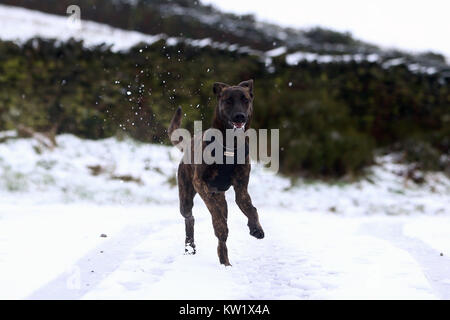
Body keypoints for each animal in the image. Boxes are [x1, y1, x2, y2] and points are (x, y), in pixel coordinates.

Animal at [168, 79, 264, 264]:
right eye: (228, 101)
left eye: (246, 100)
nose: (240, 116)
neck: (229, 146)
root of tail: (189, 143)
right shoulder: (200, 183)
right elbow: (215, 214)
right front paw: (220, 225)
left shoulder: (241, 188)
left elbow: (250, 208)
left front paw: (256, 228)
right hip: (186, 197)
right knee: (189, 218)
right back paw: (190, 246)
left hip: (222, 200)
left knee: (221, 240)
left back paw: (225, 262)